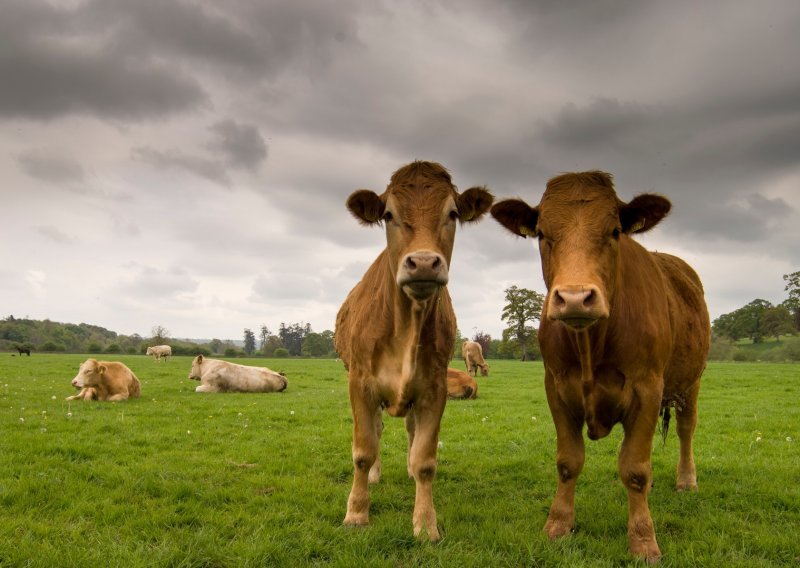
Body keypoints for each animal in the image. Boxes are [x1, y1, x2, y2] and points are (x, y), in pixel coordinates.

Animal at [332, 161, 494, 540]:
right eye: (389, 215)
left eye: (452, 213)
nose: (422, 262)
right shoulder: (360, 383)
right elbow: (363, 450)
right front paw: (356, 512)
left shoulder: (433, 388)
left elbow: (425, 459)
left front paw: (425, 523)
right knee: (377, 431)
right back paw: (375, 476)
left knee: (409, 430)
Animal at [490, 170, 708, 564]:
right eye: (542, 234)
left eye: (615, 231)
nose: (575, 297)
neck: (590, 343)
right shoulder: (556, 388)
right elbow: (568, 461)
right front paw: (558, 525)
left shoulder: (647, 388)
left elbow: (635, 469)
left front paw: (643, 540)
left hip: (690, 382)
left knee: (686, 429)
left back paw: (686, 480)